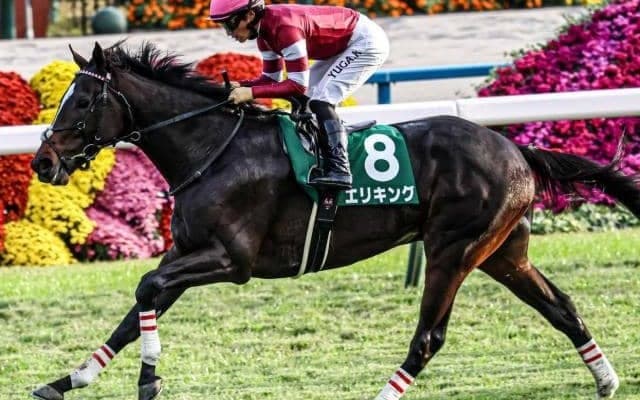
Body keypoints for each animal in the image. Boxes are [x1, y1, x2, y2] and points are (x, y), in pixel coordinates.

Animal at [29, 42, 640, 400]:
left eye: (81, 101)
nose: (42, 162)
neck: (211, 148)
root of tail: (515, 148)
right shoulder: (187, 252)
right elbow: (137, 310)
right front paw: (70, 379)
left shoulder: (231, 260)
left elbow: (146, 286)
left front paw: (149, 378)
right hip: (503, 252)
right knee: (562, 307)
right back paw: (606, 378)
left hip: (454, 249)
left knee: (429, 337)